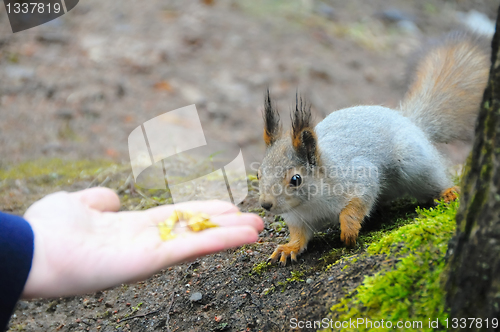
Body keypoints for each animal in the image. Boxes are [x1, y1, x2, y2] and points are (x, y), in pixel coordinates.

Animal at [258, 31, 488, 264]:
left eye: (296, 179)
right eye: (258, 173)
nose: (266, 204)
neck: (310, 203)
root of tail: (408, 120)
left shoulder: (360, 176)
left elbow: (358, 203)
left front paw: (349, 229)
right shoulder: (298, 218)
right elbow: (299, 235)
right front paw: (288, 247)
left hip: (413, 162)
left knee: (434, 179)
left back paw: (447, 191)